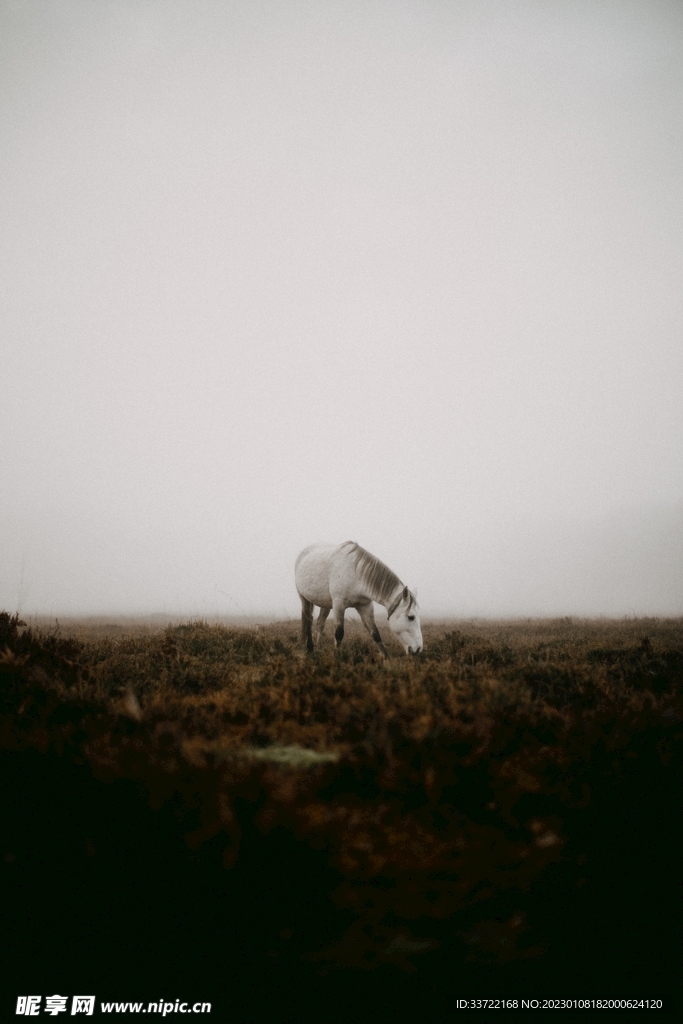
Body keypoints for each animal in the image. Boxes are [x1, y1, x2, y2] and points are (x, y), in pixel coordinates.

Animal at [295, 541, 423, 656]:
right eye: (411, 617)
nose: (418, 649)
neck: (356, 574)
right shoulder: (339, 605)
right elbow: (339, 633)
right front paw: (337, 656)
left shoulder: (365, 606)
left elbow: (375, 633)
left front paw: (387, 660)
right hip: (304, 598)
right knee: (308, 620)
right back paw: (310, 648)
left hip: (325, 604)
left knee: (320, 623)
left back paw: (318, 648)